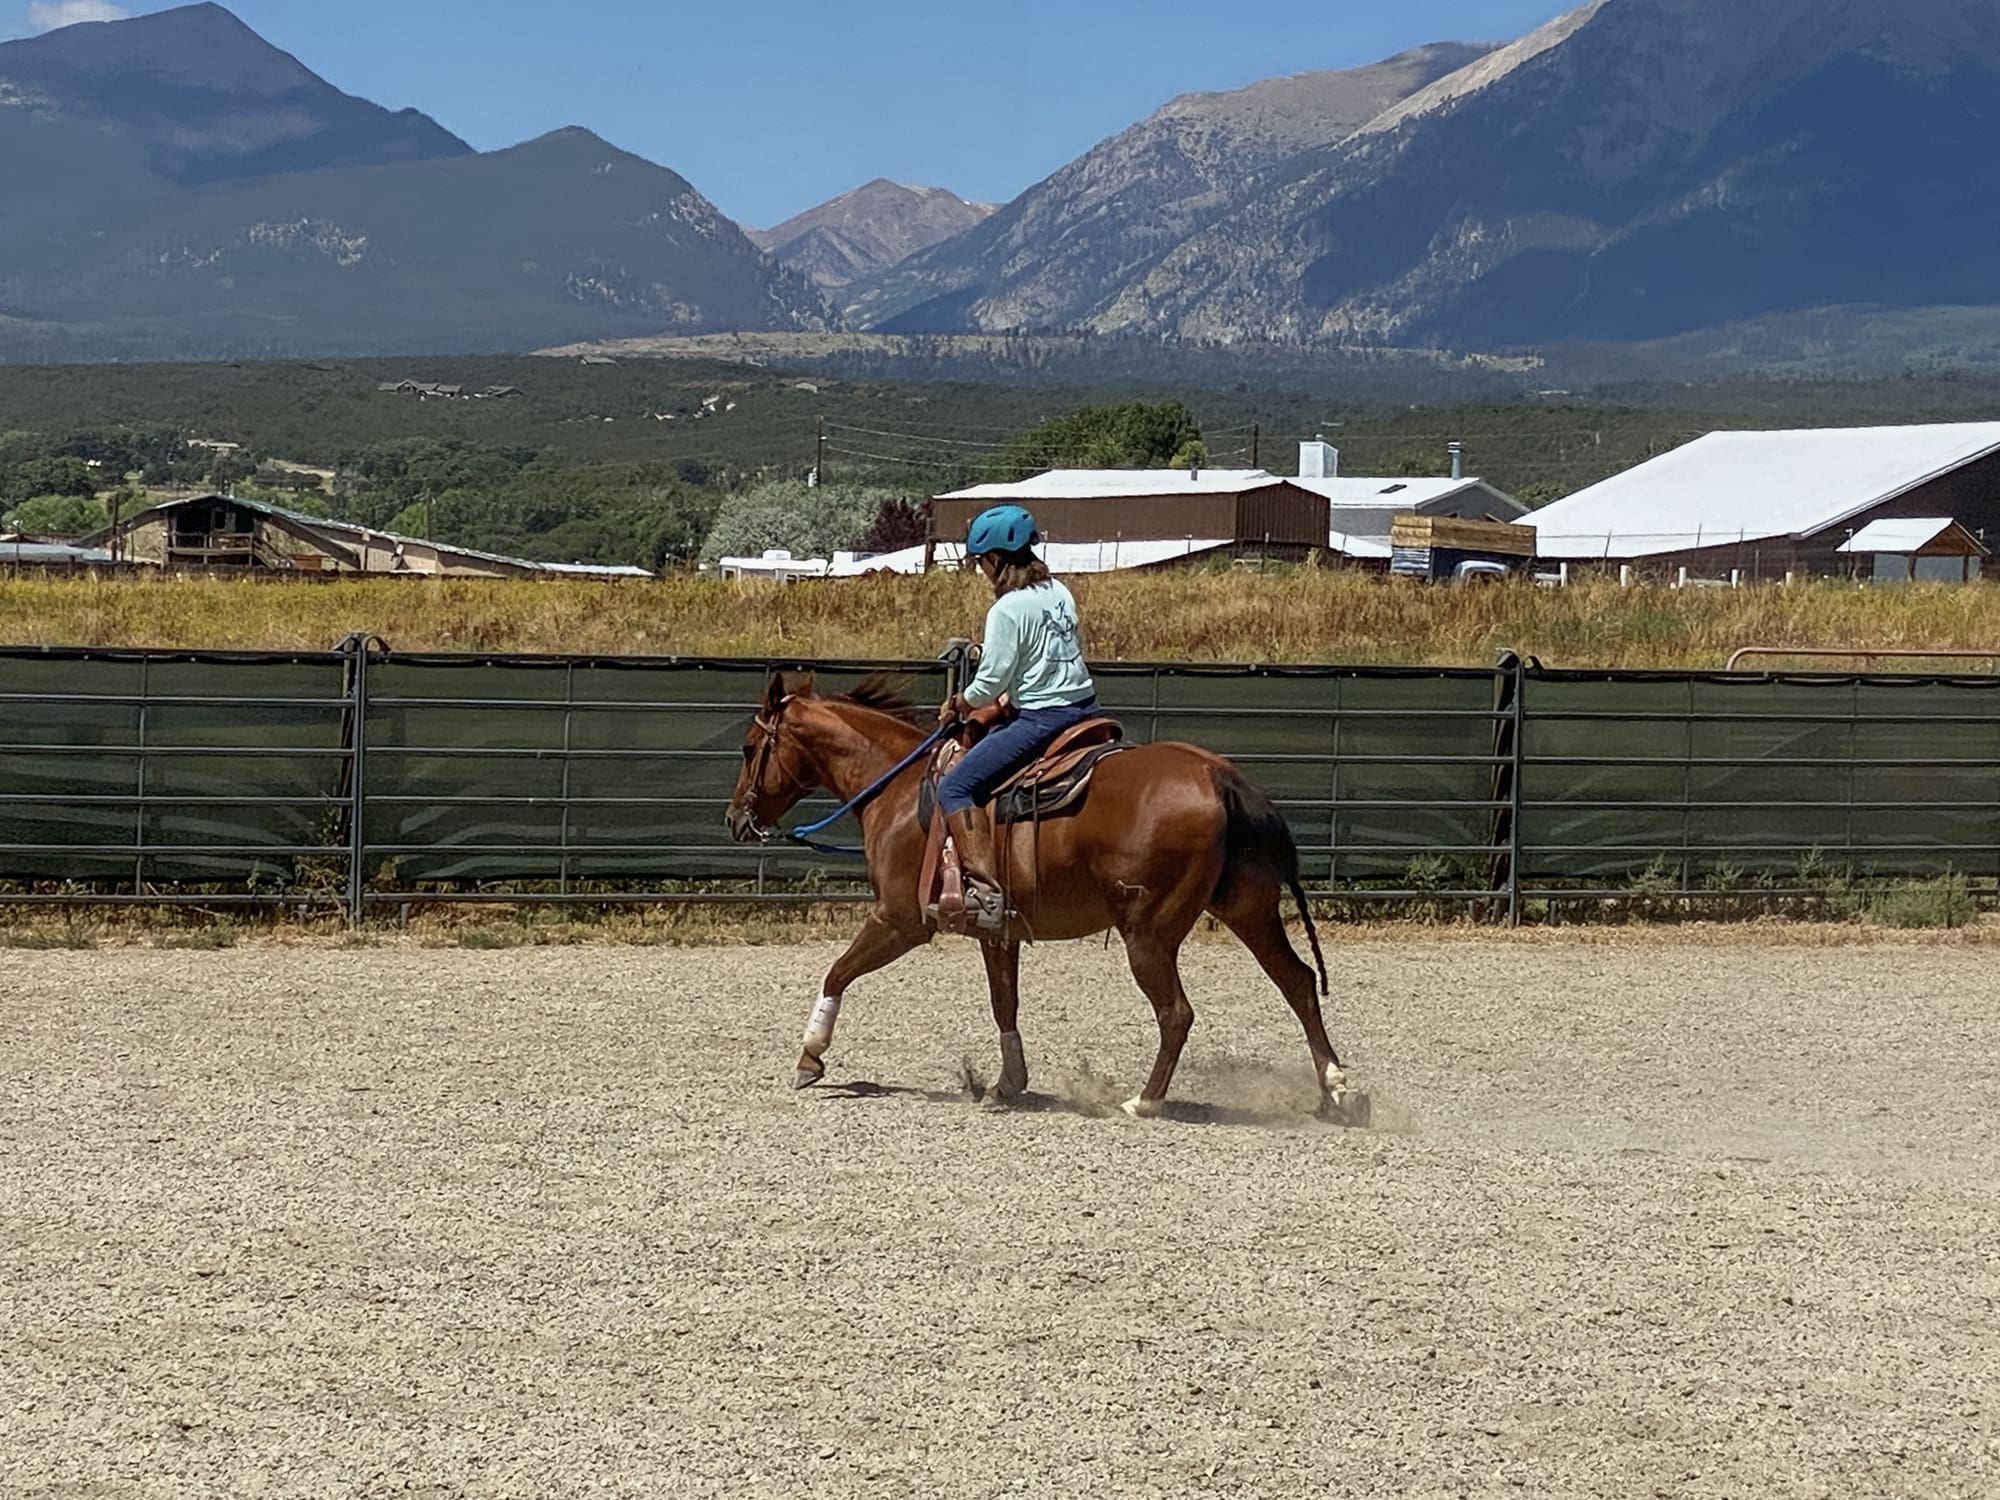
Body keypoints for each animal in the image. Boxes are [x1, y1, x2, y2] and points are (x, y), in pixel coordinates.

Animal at [728, 672, 1368, 1128]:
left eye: (749, 747)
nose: (735, 820)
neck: (902, 789)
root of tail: (1219, 776)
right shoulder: (996, 930)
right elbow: (1004, 1004)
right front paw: (1006, 1084)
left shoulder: (900, 920)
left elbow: (837, 972)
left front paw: (809, 1058)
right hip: (1246, 909)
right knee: (1297, 982)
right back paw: (1337, 1092)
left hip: (1149, 932)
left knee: (1177, 1012)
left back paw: (1144, 1102)